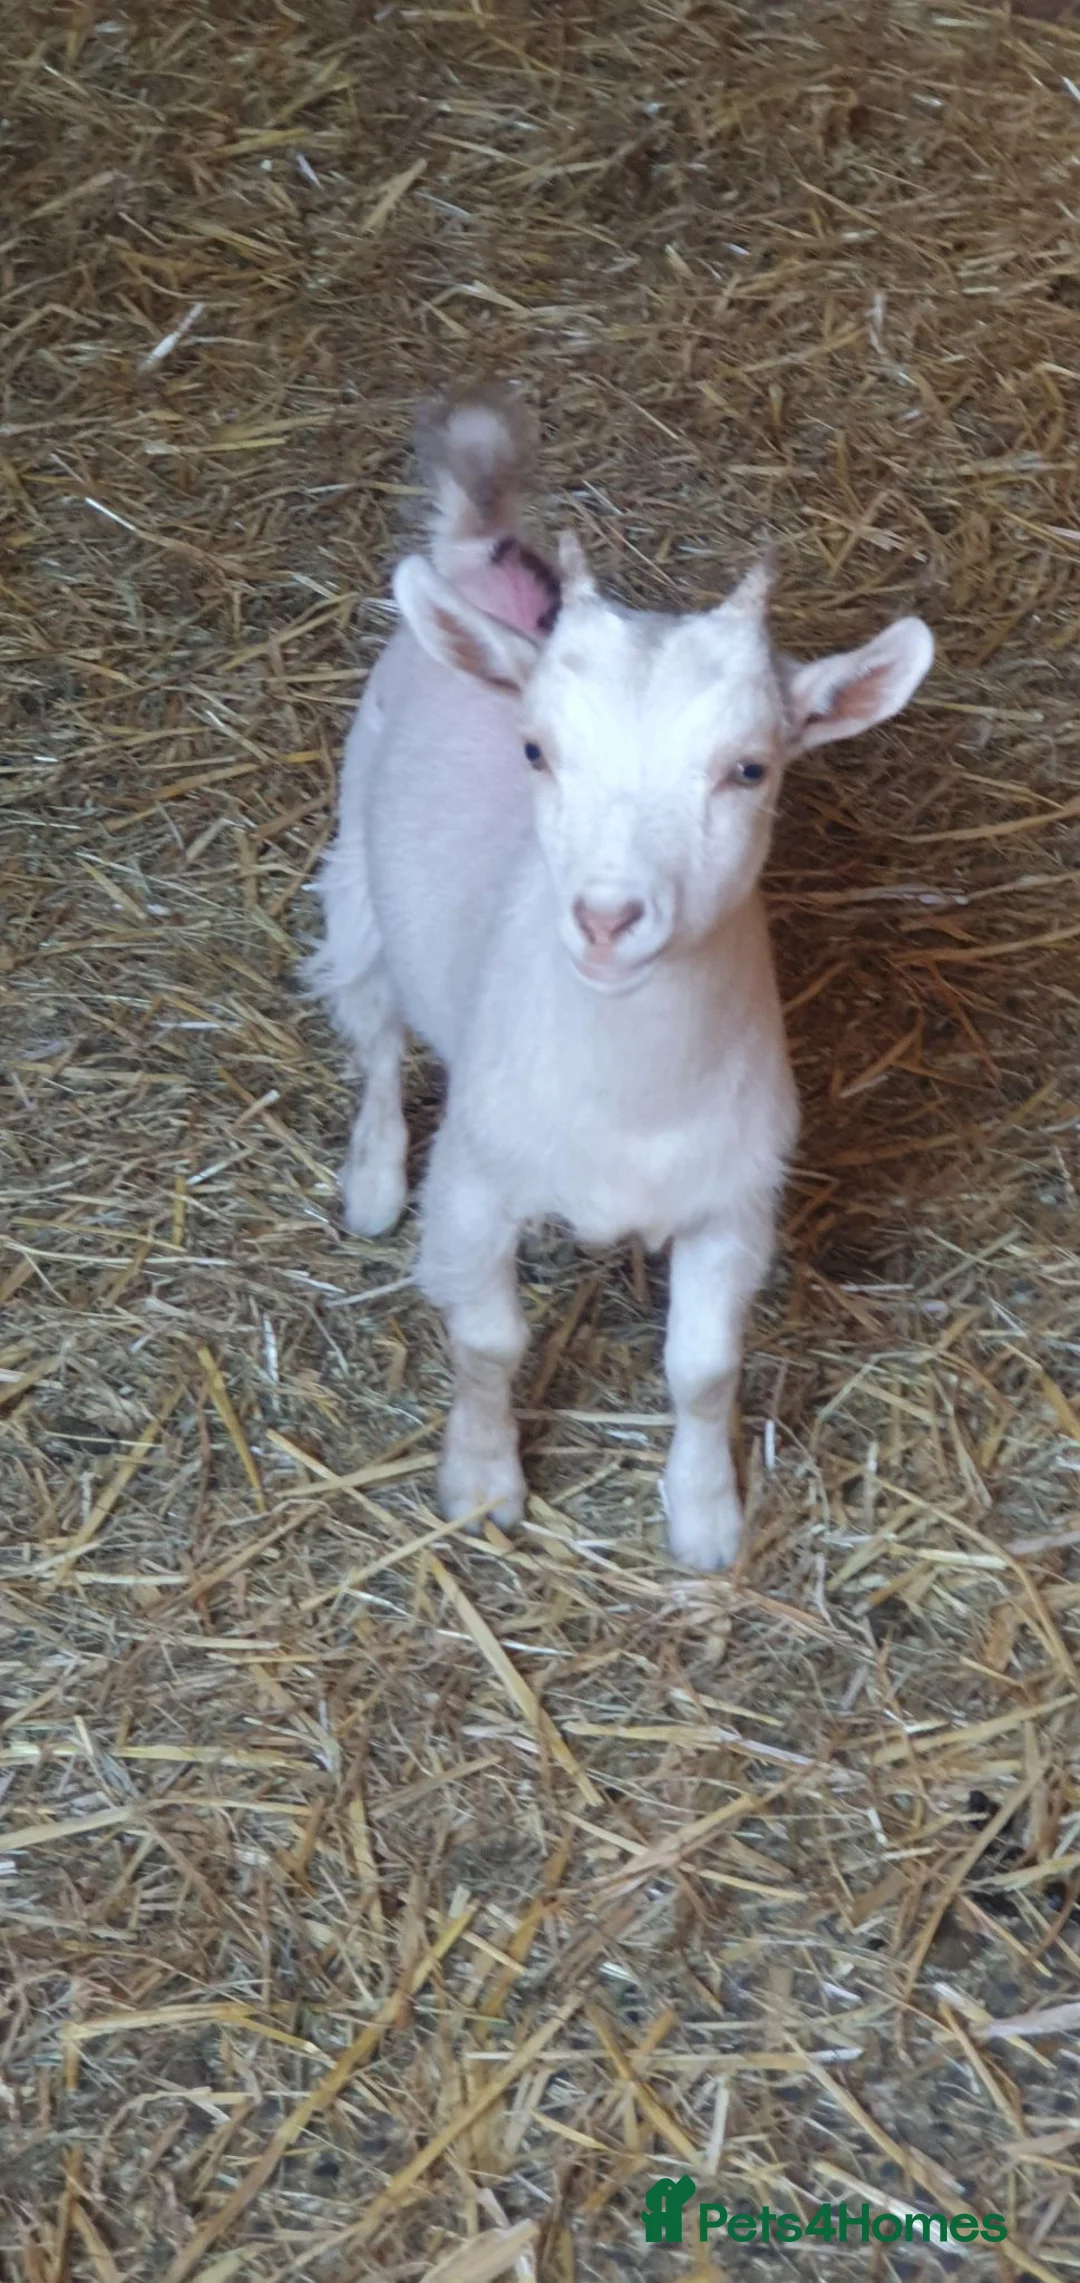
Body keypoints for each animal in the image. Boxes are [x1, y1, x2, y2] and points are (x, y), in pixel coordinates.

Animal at [307, 385, 933, 1568]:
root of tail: (481, 564)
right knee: (373, 1031)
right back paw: (369, 1179)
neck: (628, 1092)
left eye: (750, 768)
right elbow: (489, 1340)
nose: (605, 920)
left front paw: (706, 1518)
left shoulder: (734, 1202)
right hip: (358, 873)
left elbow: (703, 1371)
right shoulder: (478, 1182)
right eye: (536, 751)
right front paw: (482, 1484)